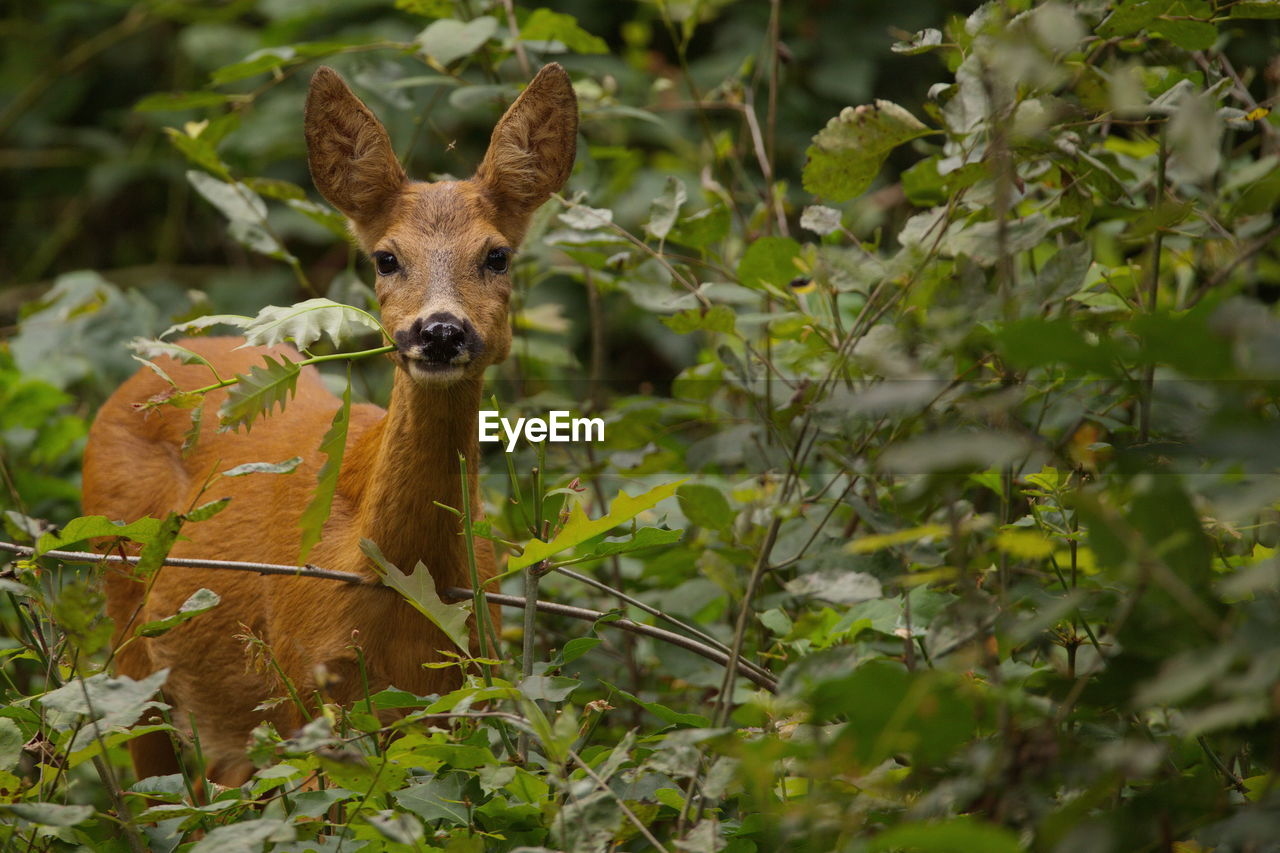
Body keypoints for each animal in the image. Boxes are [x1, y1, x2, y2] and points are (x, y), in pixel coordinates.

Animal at [82, 63, 578, 788]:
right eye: (386, 258)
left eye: (497, 255)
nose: (440, 331)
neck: (392, 575)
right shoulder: (306, 683)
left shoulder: (468, 678)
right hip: (126, 618)